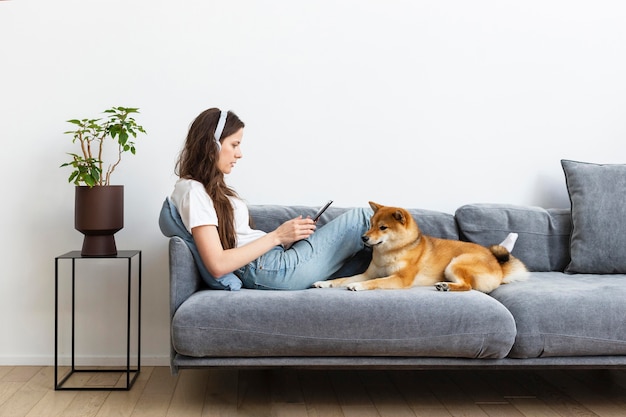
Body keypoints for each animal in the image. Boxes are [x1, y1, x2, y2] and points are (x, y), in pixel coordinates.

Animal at [312, 202, 528, 292]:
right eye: (370, 224)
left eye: (383, 228)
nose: (363, 238)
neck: (390, 254)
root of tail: (498, 265)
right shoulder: (368, 273)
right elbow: (342, 279)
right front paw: (325, 282)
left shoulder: (400, 279)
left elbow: (373, 282)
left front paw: (358, 286)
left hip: (456, 263)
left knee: (467, 286)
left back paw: (447, 286)